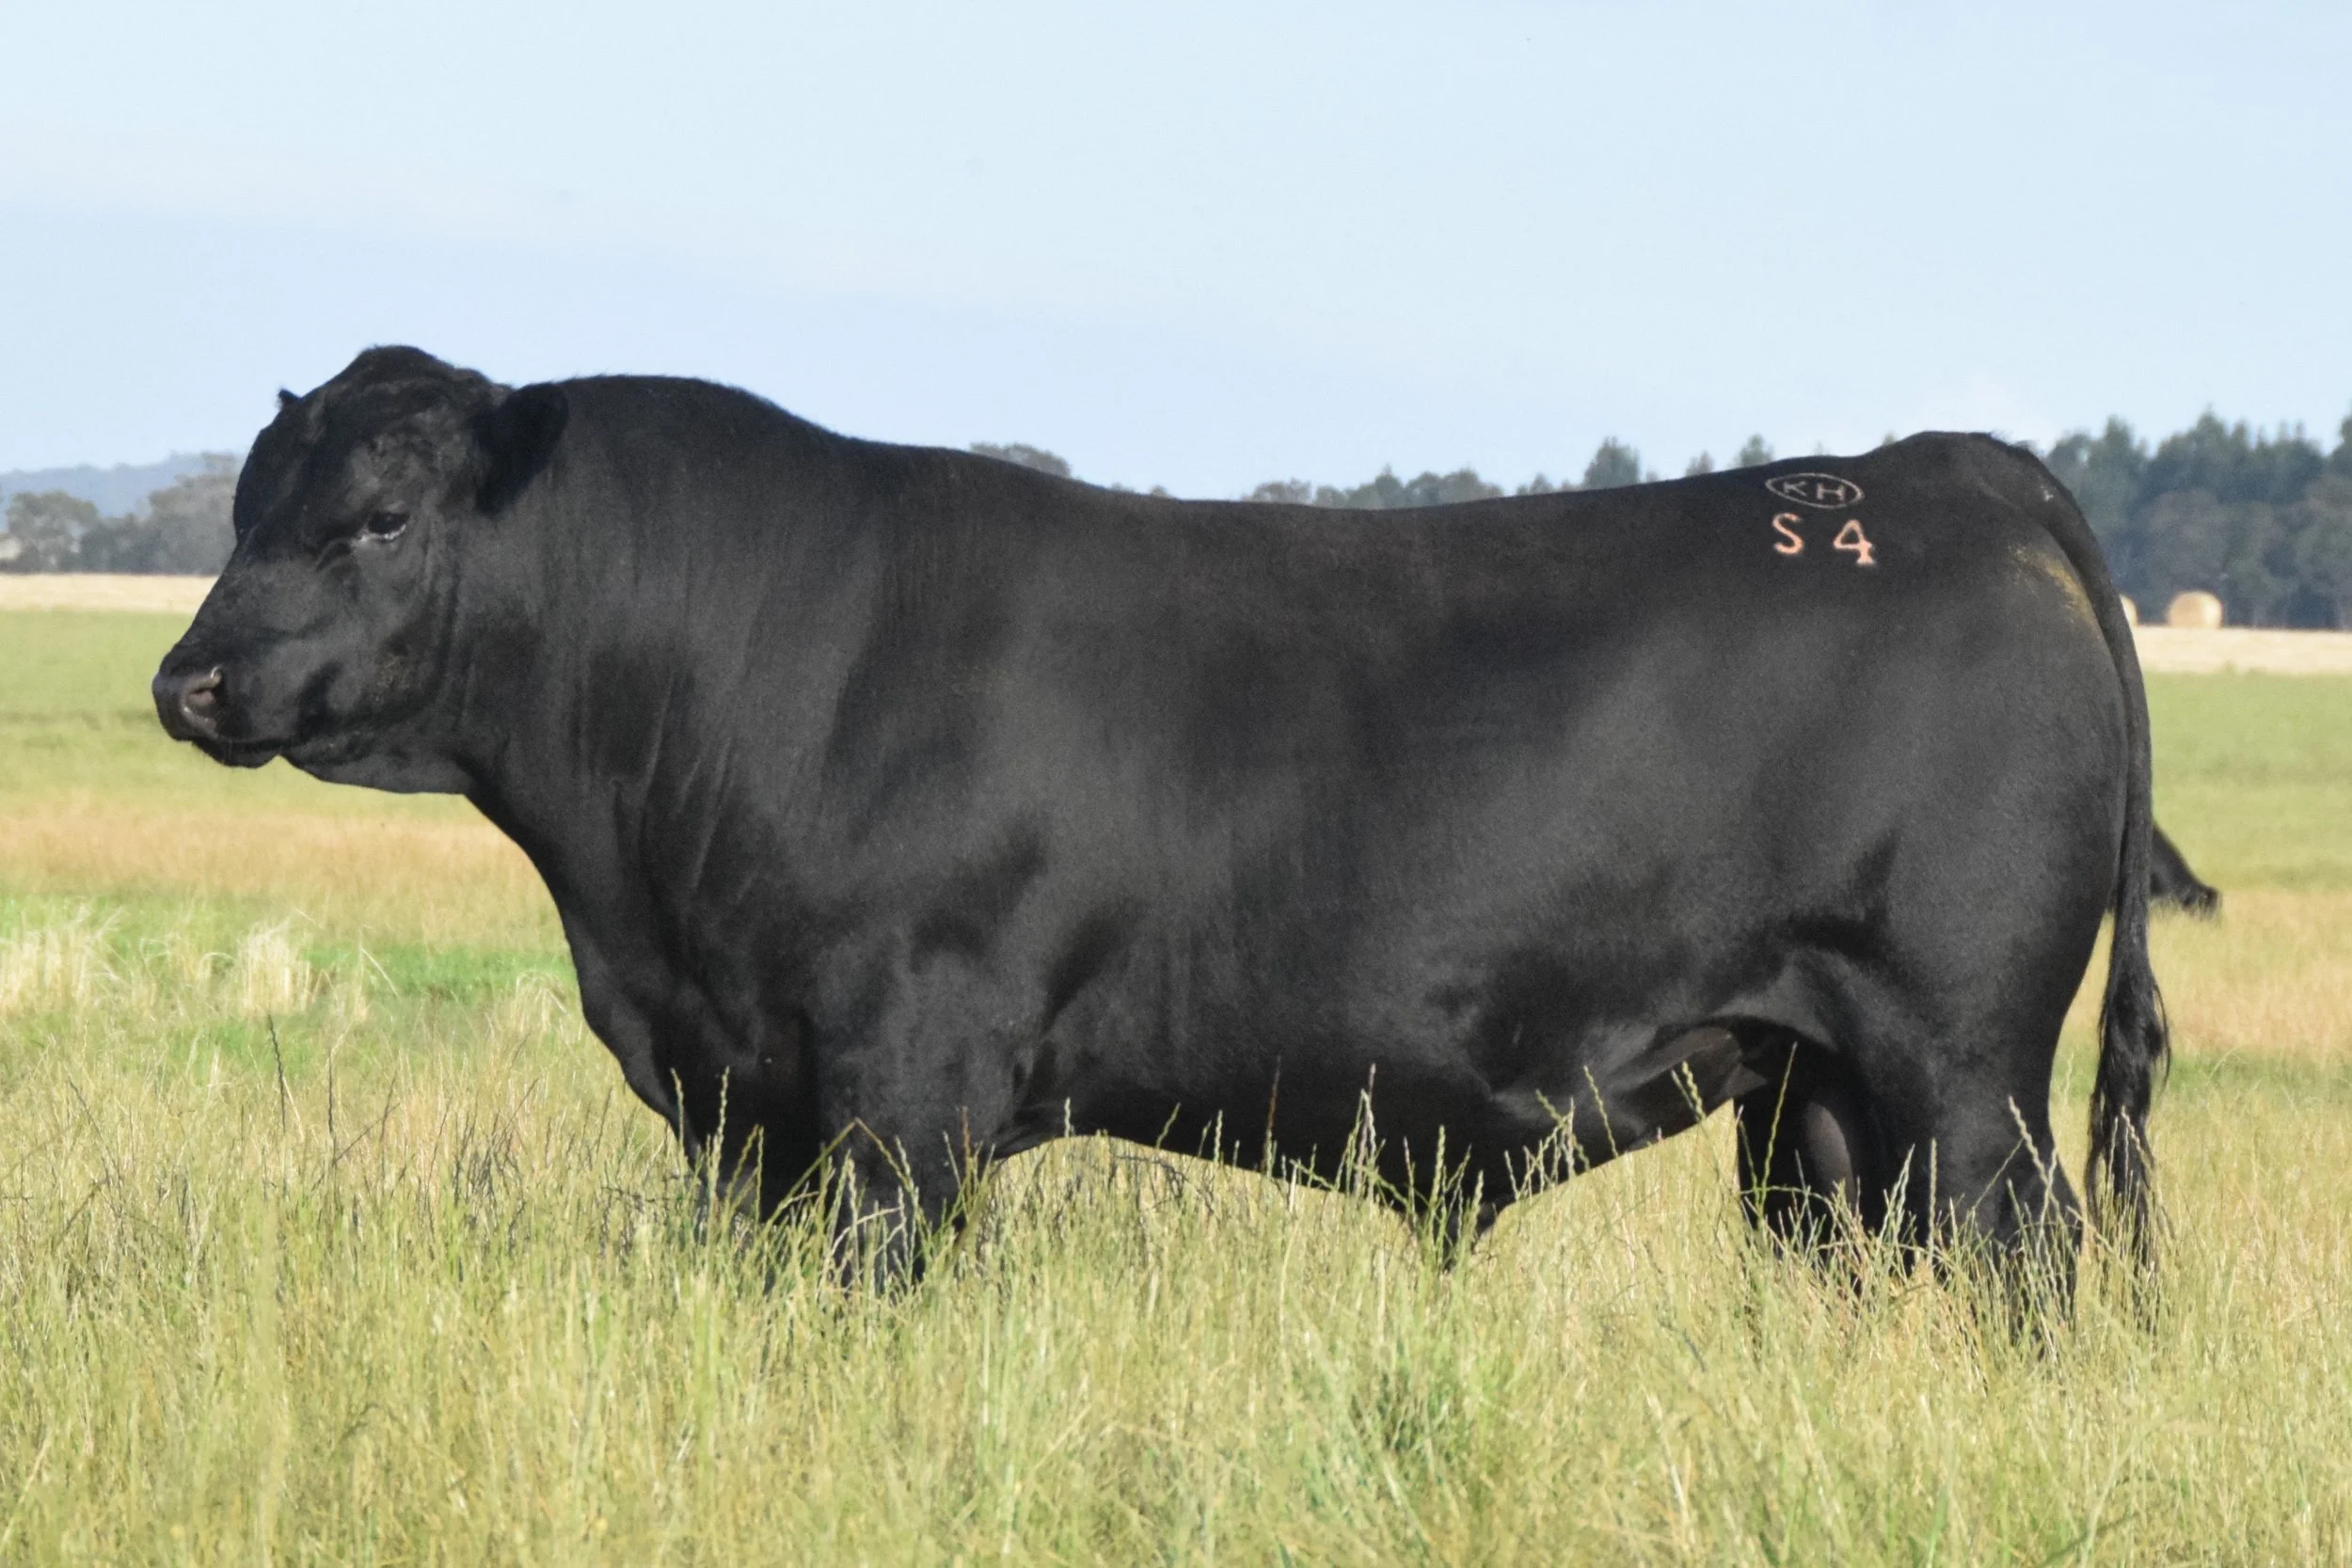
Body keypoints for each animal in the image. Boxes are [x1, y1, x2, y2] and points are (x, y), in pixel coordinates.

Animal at [154, 347, 2167, 1289]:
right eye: (248, 503)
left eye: (378, 516)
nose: (190, 683)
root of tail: (1948, 469)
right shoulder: (744, 1100)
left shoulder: (905, 1081)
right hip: (1815, 1092)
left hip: (1961, 1063)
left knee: (2029, 1267)